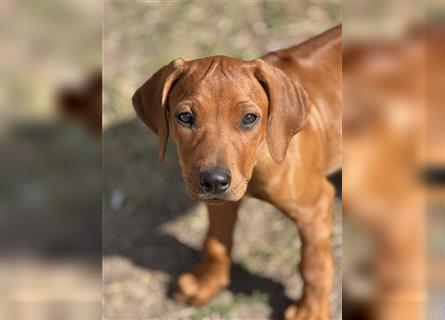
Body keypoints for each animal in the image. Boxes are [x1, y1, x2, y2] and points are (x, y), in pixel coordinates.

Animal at [132, 25, 340, 320]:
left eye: (249, 118)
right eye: (185, 117)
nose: (214, 181)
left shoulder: (315, 206)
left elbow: (314, 265)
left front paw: (311, 310)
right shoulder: (218, 200)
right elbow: (216, 241)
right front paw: (207, 281)